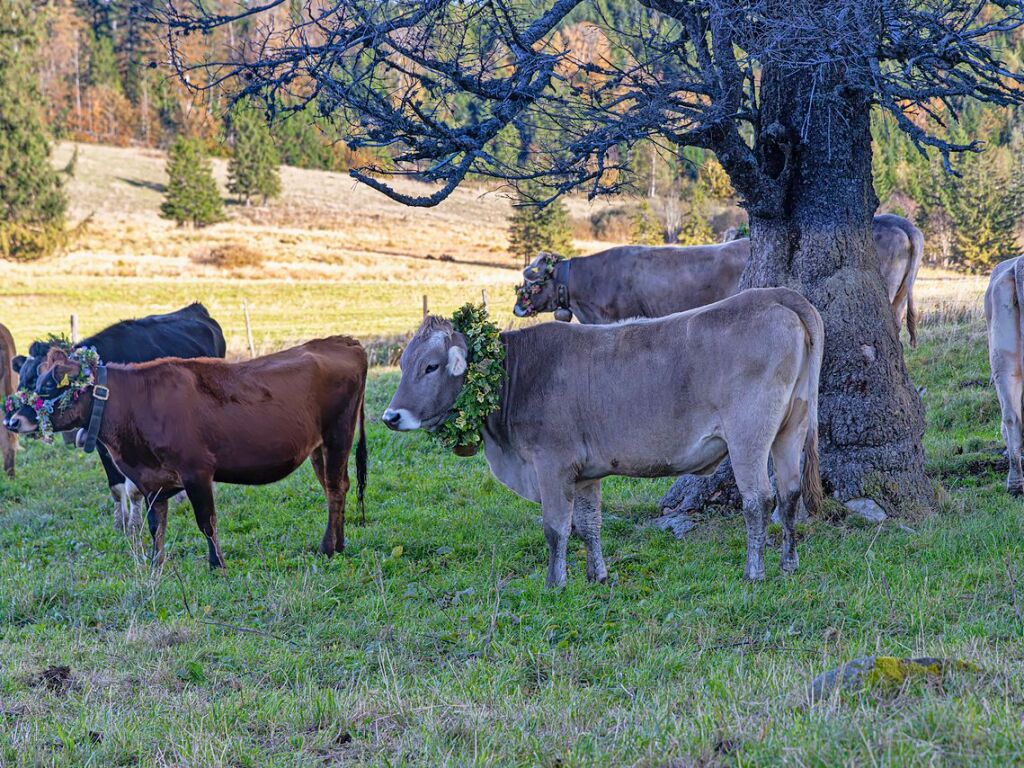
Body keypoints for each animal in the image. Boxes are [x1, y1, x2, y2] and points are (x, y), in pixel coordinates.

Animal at [7, 339, 368, 569]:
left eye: (50, 386)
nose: (12, 420)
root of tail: (343, 342)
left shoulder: (197, 472)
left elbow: (206, 522)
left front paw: (216, 564)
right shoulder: (152, 482)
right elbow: (157, 525)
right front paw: (157, 564)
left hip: (338, 435)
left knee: (335, 489)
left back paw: (327, 548)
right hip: (318, 446)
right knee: (337, 487)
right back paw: (339, 543)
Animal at [12, 303, 224, 532]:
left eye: (46, 384)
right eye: (22, 380)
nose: (11, 421)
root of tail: (195, 307)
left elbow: (134, 488)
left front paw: (134, 524)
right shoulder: (100, 442)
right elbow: (115, 485)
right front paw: (119, 523)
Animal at [385, 288, 823, 589]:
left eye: (431, 366)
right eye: (404, 364)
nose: (391, 417)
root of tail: (772, 295)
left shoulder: (551, 462)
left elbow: (556, 527)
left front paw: (555, 583)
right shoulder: (585, 473)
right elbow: (589, 526)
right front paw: (596, 576)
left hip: (749, 432)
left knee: (758, 500)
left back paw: (754, 571)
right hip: (792, 425)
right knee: (789, 494)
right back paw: (788, 563)